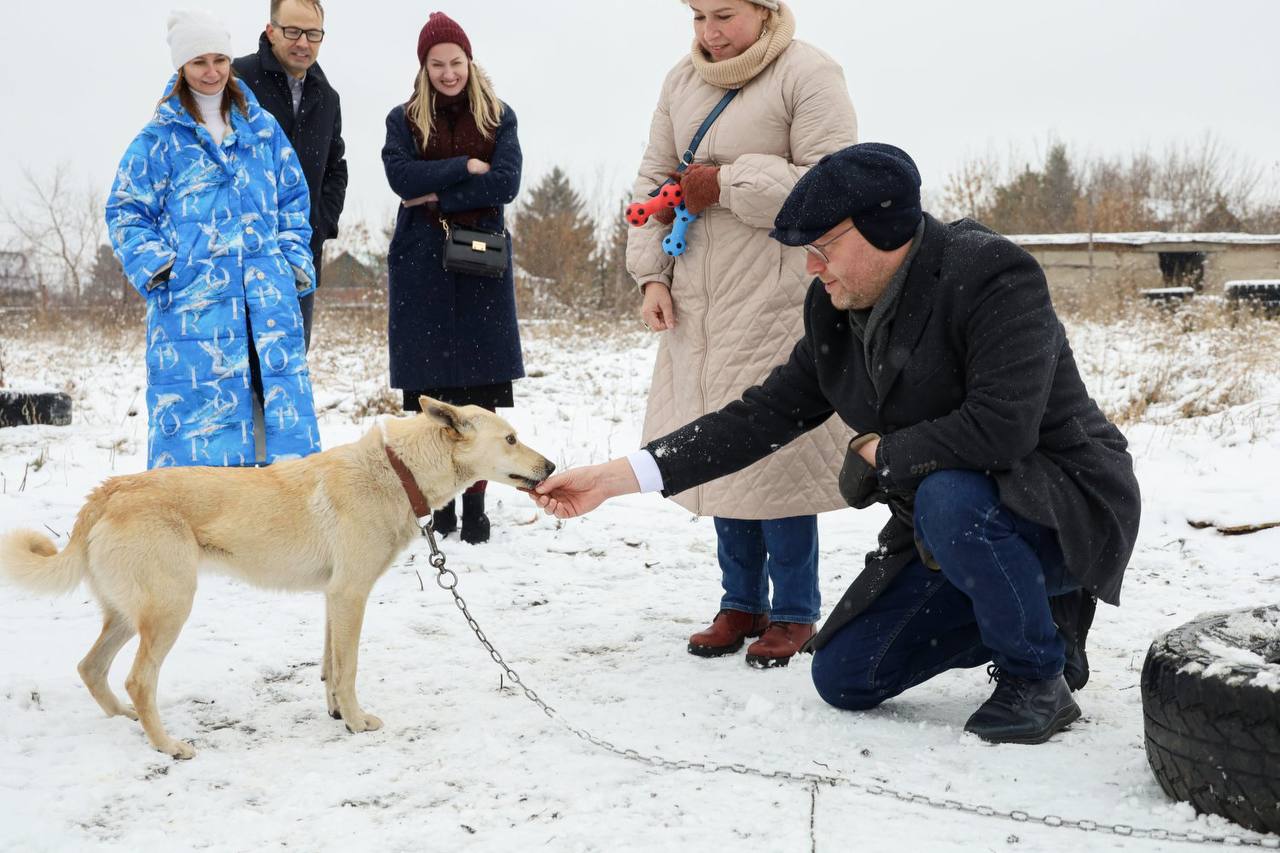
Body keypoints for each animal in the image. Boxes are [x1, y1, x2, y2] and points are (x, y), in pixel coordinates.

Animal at [0, 399, 555, 758]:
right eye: (510, 438)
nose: (550, 465)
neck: (398, 472)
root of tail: (107, 491)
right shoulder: (351, 595)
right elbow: (349, 669)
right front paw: (358, 723)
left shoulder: (334, 597)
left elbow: (331, 667)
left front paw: (337, 715)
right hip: (170, 609)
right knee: (138, 679)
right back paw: (167, 746)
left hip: (125, 614)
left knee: (91, 668)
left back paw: (126, 721)